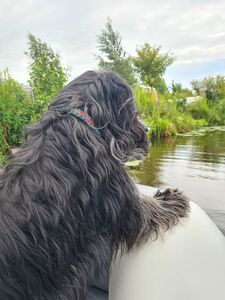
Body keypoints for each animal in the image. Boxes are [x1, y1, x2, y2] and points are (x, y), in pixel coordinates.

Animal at [0, 71, 189, 300]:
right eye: (132, 110)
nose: (147, 128)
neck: (81, 122)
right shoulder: (123, 200)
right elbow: (151, 209)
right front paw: (171, 198)